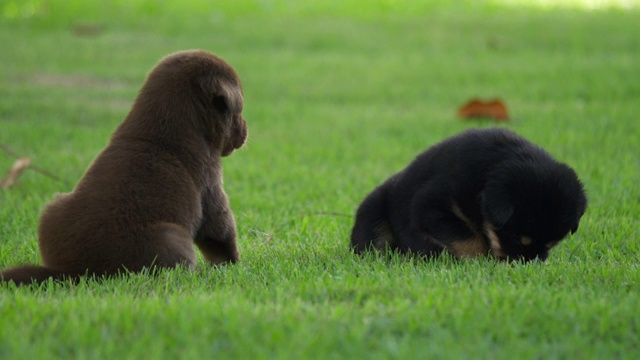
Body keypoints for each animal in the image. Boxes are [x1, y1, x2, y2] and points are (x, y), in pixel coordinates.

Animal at [0, 50, 248, 284]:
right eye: (237, 111)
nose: (246, 130)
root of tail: (75, 273)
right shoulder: (211, 186)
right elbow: (221, 233)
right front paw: (233, 264)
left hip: (51, 209)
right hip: (172, 238)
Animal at [352, 128, 588, 260]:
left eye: (552, 244)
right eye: (515, 238)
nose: (526, 264)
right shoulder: (431, 206)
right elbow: (468, 238)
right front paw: (480, 261)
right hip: (374, 212)